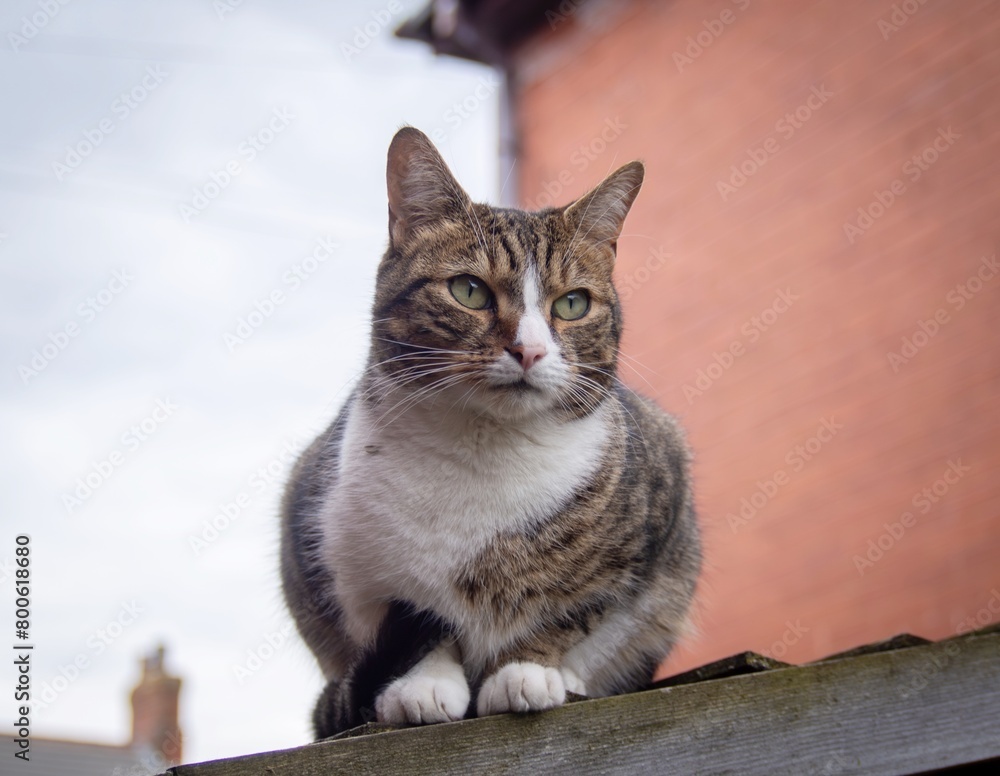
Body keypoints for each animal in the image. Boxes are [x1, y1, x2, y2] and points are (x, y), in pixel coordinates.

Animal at [280, 124, 704, 736]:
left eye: (572, 303)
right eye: (469, 291)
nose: (529, 350)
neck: (485, 450)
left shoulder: (653, 531)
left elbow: (576, 613)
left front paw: (525, 671)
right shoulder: (329, 545)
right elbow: (413, 624)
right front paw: (423, 686)